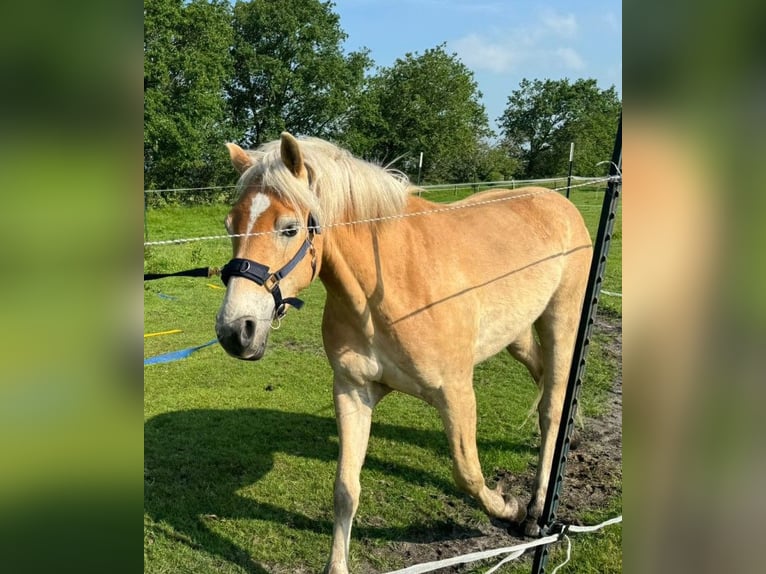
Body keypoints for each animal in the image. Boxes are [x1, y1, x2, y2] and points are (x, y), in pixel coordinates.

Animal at [216, 133, 592, 572]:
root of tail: (560, 204)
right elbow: (345, 489)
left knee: (552, 405)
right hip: (516, 334)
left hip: (561, 322)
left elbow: (468, 473)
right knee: (542, 378)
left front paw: (509, 507)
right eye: (230, 226)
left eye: (288, 228)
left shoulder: (456, 393)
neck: (388, 288)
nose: (235, 331)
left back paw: (534, 510)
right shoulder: (353, 391)